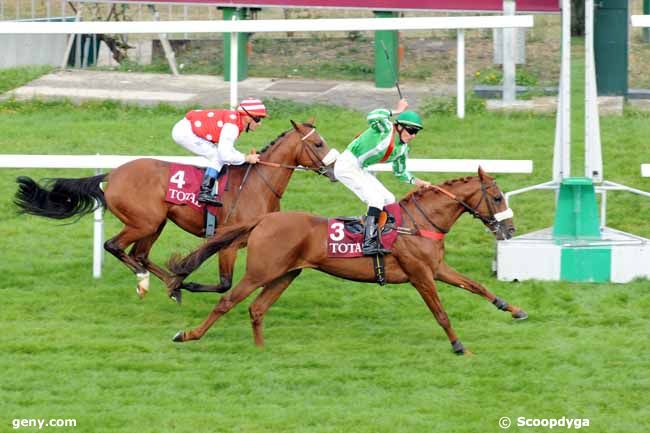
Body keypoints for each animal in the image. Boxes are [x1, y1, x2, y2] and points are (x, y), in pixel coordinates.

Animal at [13, 120, 334, 298]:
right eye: (318, 143)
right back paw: (147, 281)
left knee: (140, 254)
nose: (332, 169)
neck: (257, 183)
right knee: (115, 246)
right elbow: (224, 284)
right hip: (144, 222)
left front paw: (181, 280)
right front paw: (187, 282)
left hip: (157, 223)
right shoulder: (229, 242)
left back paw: (170, 283)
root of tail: (113, 174)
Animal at [167, 168, 528, 354]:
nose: (510, 229)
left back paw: (261, 350)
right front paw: (458, 346)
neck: (420, 222)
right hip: (260, 271)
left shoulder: (436, 268)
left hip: (286, 274)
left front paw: (513, 309)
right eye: (497, 197)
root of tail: (263, 220)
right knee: (227, 302)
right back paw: (187, 335)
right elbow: (440, 313)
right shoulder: (420, 274)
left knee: (256, 308)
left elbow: (476, 286)